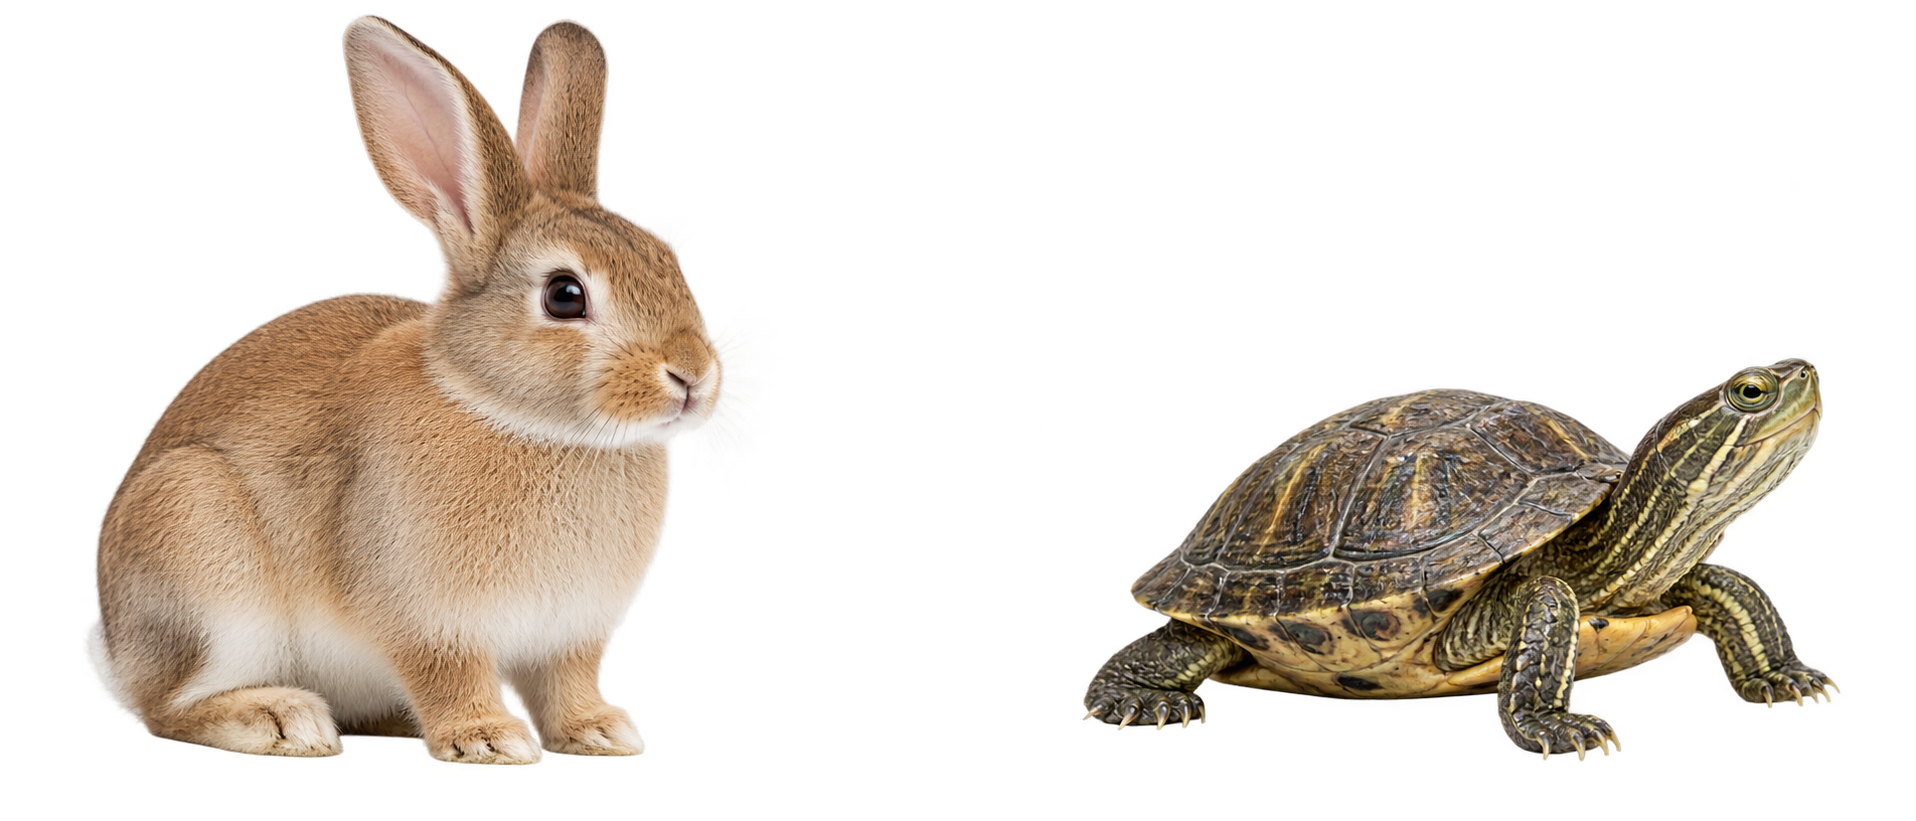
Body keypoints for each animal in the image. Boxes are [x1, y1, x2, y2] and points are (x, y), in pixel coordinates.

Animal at [80, 13, 718, 765]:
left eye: (666, 257)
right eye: (565, 296)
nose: (693, 374)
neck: (512, 413)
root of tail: (112, 643)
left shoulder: (571, 635)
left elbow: (568, 683)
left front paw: (602, 731)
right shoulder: (429, 620)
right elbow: (447, 674)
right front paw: (488, 739)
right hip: (203, 556)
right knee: (169, 704)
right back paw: (281, 720)